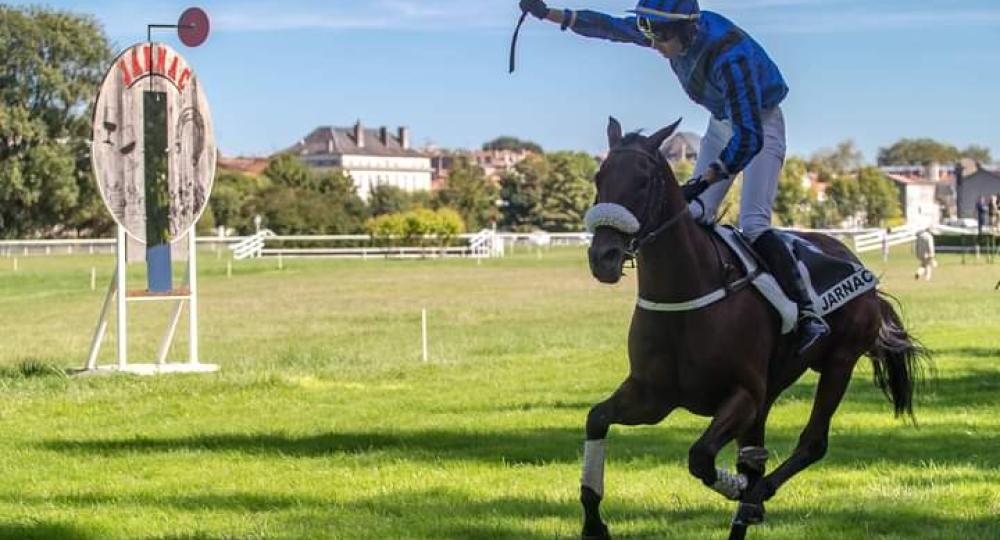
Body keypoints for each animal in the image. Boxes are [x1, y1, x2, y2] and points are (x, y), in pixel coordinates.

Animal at [580, 117, 928, 540]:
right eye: (599, 176)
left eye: (644, 180)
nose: (604, 257)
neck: (686, 293)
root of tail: (855, 262)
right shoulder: (653, 396)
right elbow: (597, 418)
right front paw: (594, 523)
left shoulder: (743, 393)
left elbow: (701, 457)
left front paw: (739, 489)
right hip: (774, 387)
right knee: (761, 451)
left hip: (839, 362)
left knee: (812, 442)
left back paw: (756, 495)